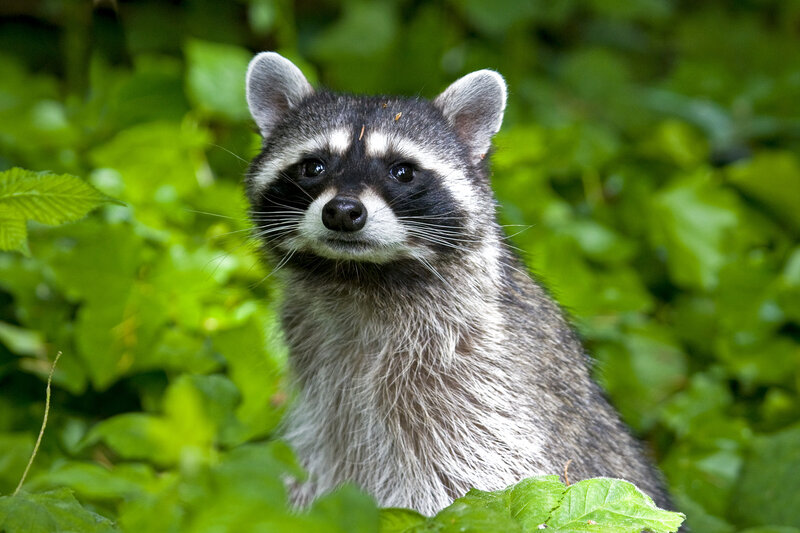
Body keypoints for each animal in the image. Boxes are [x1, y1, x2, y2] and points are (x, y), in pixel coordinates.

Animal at [244, 52, 670, 515]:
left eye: (402, 171)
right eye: (313, 166)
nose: (342, 211)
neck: (360, 278)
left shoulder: (475, 373)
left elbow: (471, 481)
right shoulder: (324, 392)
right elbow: (319, 460)